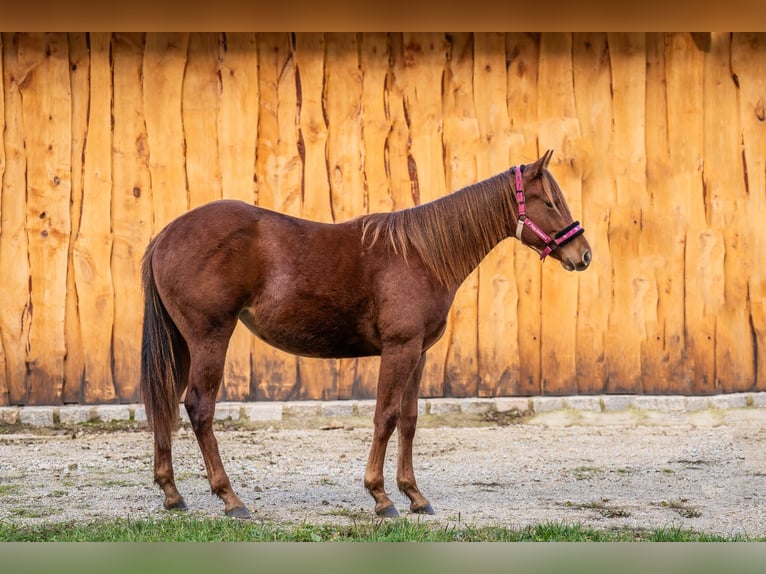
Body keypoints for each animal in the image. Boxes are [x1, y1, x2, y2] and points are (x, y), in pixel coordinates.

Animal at [140, 150, 592, 519]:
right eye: (549, 202)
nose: (583, 254)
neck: (420, 254)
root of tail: (166, 234)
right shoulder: (398, 349)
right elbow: (385, 416)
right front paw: (381, 496)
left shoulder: (418, 353)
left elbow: (409, 419)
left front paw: (415, 495)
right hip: (209, 338)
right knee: (199, 407)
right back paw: (230, 498)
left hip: (182, 344)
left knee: (164, 403)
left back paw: (173, 494)